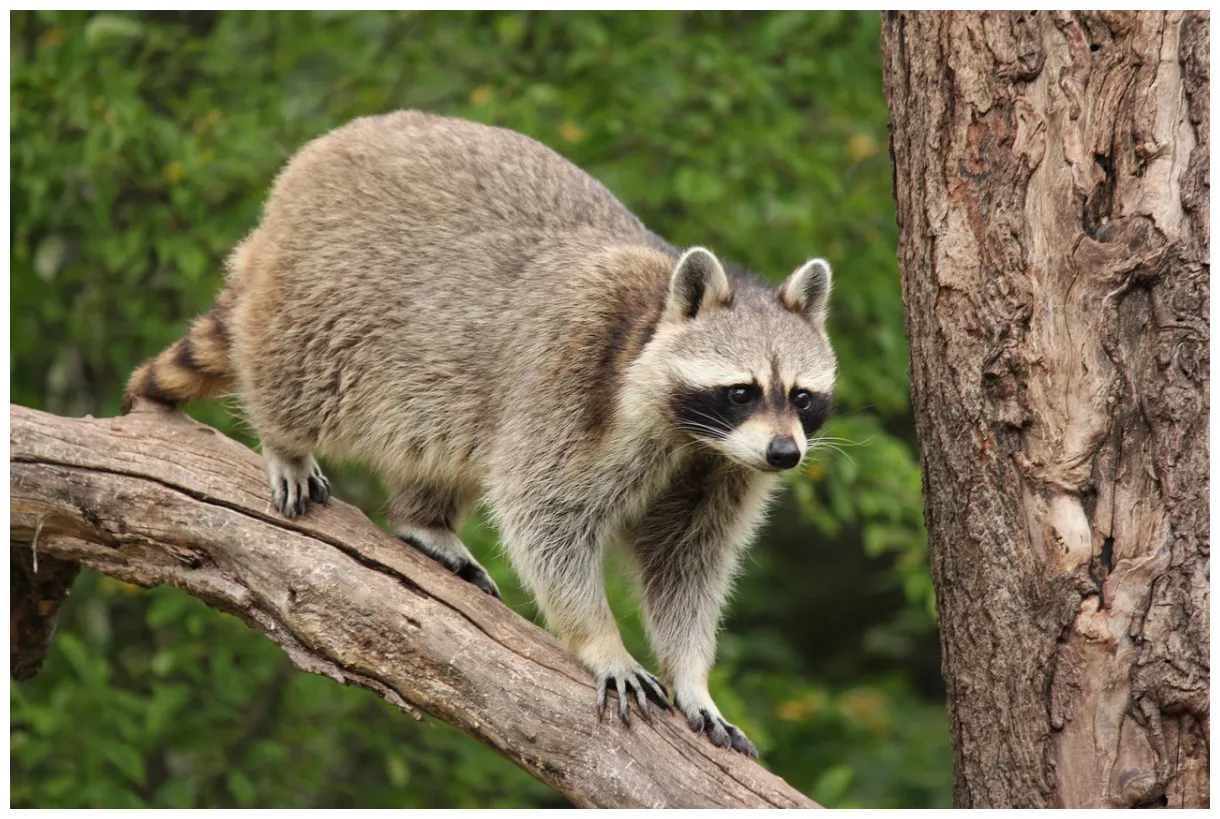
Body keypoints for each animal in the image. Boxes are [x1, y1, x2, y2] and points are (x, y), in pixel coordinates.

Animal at [122, 111, 836, 757]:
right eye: (742, 391)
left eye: (801, 397)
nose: (785, 454)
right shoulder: (568, 384)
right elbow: (547, 517)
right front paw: (600, 640)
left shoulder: (722, 469)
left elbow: (686, 563)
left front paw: (693, 677)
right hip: (331, 292)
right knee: (302, 378)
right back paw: (285, 439)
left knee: (447, 441)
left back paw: (424, 518)